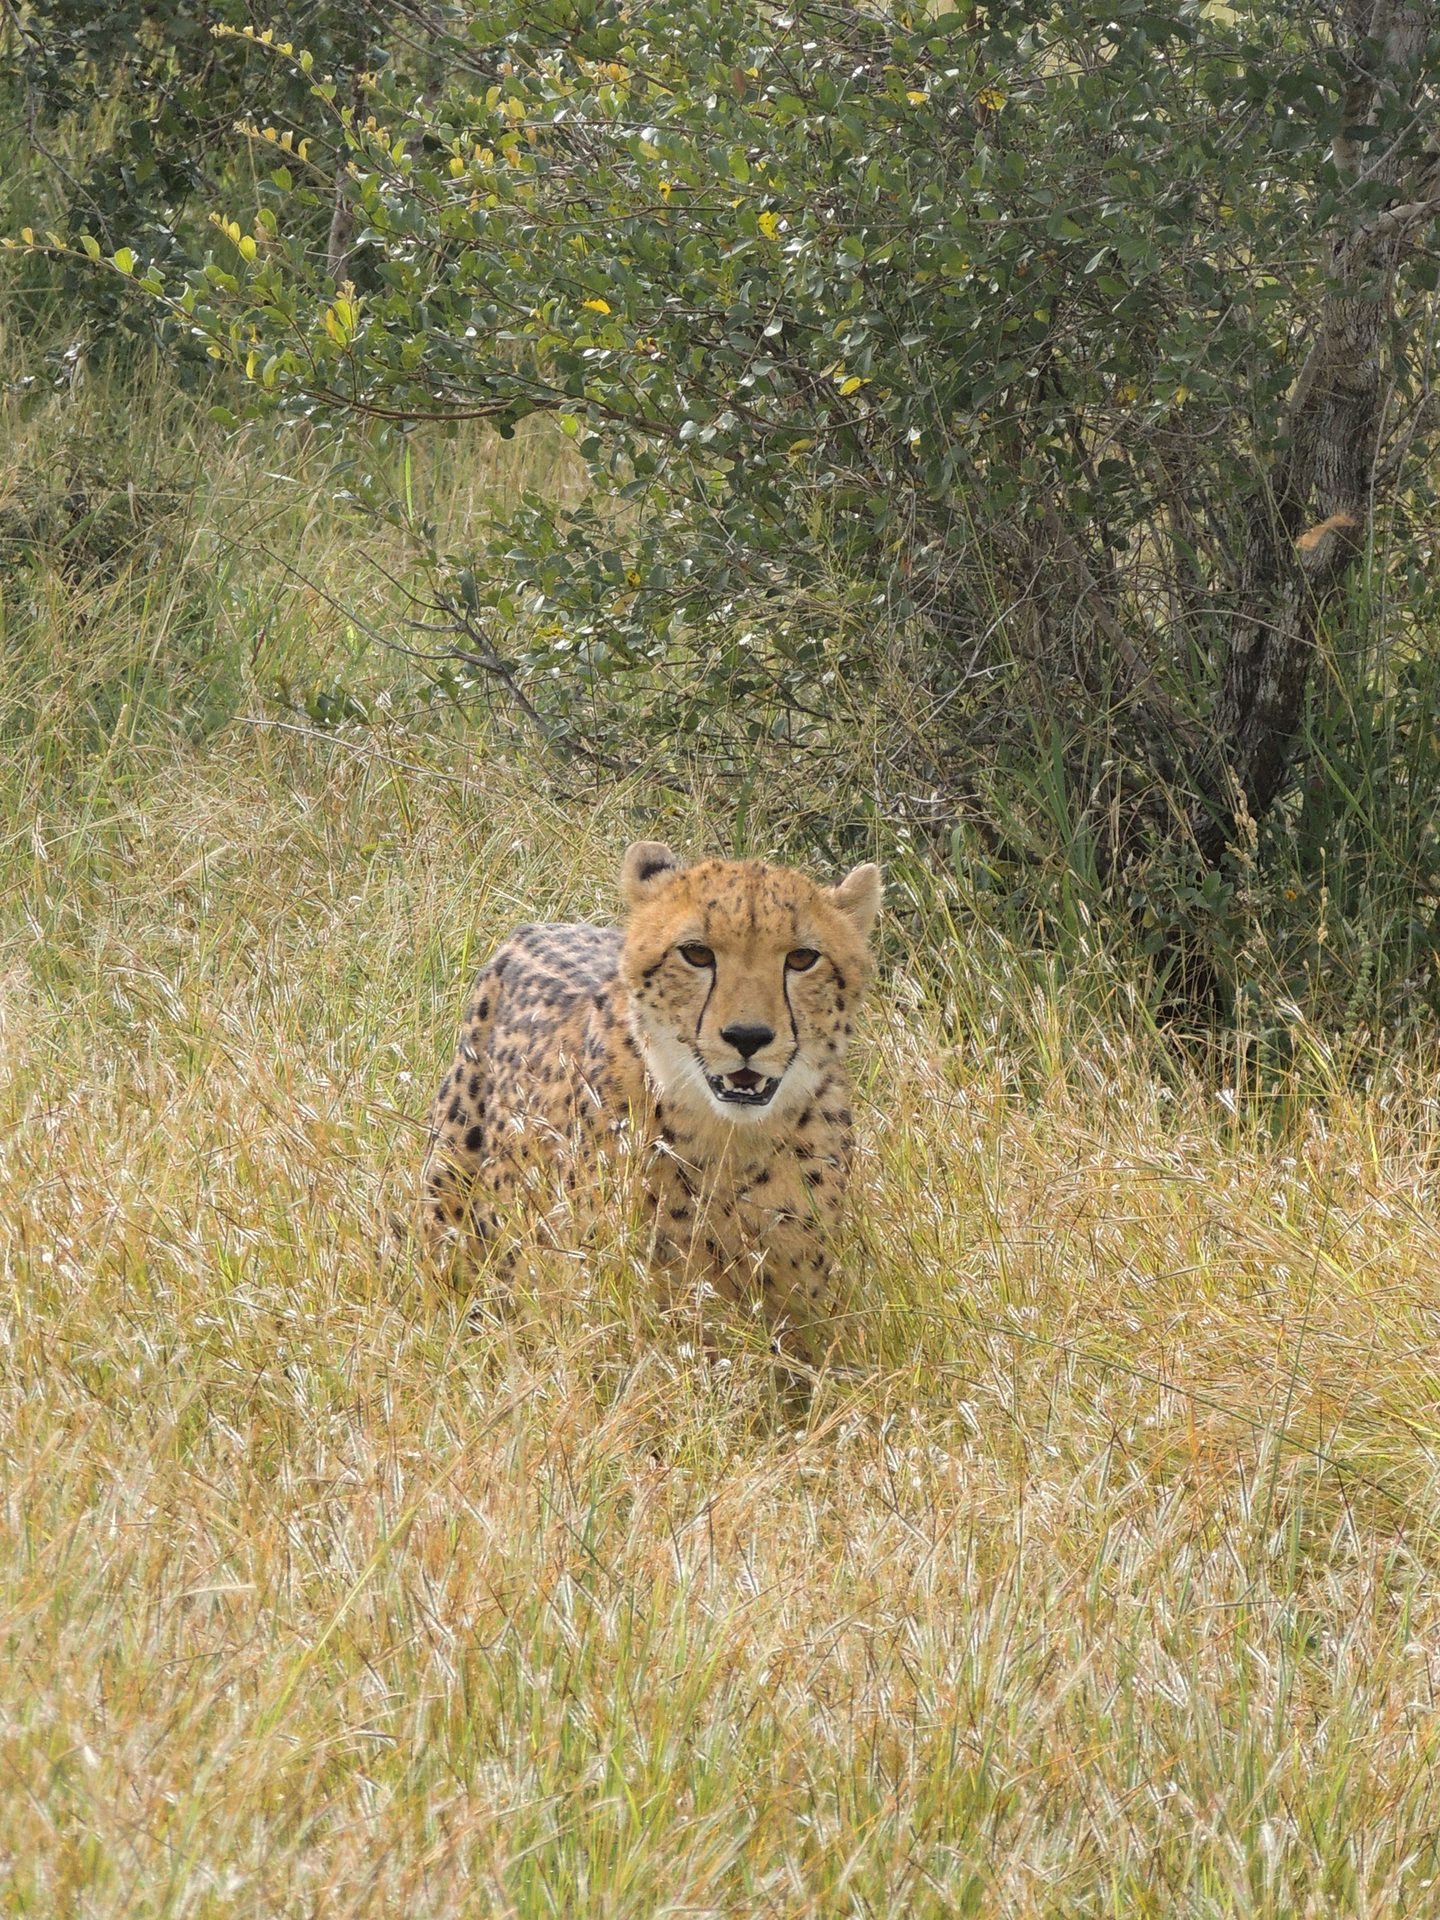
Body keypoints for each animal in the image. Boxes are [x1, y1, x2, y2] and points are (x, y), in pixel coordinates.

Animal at [420, 839, 882, 1351]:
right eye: (696, 953)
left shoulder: (799, 1320)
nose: (748, 1036)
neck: (727, 1143)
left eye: (802, 959)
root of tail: (535, 926)